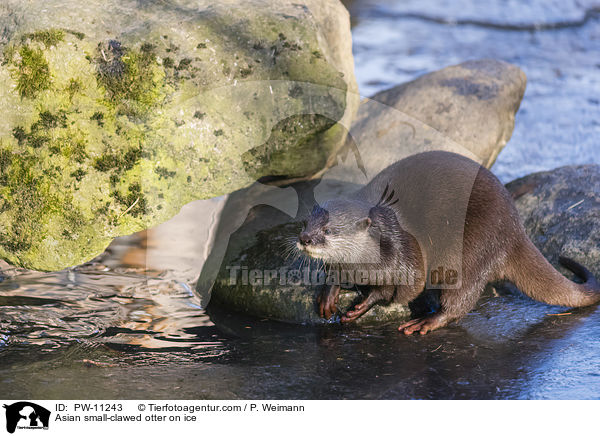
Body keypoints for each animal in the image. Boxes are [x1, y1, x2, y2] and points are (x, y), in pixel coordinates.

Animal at [296, 150, 600, 334]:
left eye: (329, 230)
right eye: (305, 223)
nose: (304, 239)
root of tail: (516, 229)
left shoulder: (406, 254)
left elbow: (401, 289)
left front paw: (365, 303)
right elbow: (335, 272)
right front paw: (329, 295)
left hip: (476, 245)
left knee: (461, 298)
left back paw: (428, 321)